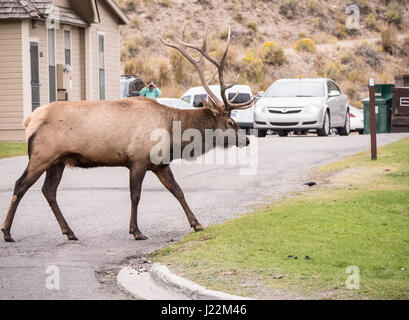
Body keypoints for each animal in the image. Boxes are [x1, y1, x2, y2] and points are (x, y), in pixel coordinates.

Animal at [1, 25, 253, 242]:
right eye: (230, 121)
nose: (248, 139)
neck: (172, 135)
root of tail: (30, 120)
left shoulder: (160, 163)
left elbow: (178, 191)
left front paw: (197, 224)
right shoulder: (138, 159)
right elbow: (136, 195)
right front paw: (136, 231)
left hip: (58, 160)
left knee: (49, 191)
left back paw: (69, 232)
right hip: (42, 155)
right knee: (20, 185)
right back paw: (7, 232)